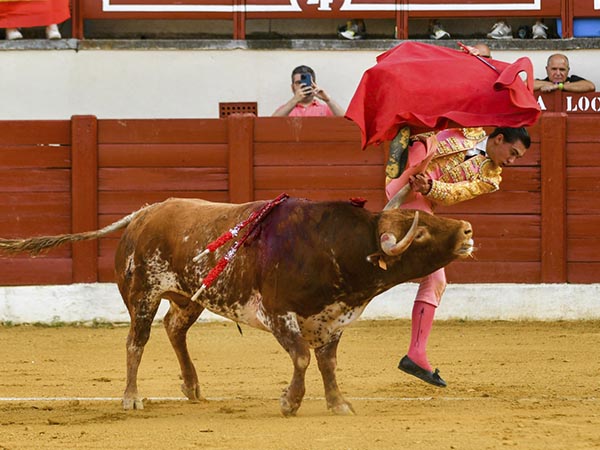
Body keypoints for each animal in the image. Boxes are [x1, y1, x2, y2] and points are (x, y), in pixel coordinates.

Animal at [0, 195, 474, 416]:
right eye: (421, 231)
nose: (467, 229)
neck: (333, 246)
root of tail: (146, 212)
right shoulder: (278, 313)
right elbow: (302, 358)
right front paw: (289, 402)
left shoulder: (332, 321)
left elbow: (327, 364)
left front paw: (338, 404)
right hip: (142, 295)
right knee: (136, 342)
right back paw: (131, 398)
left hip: (189, 296)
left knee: (175, 328)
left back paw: (192, 387)